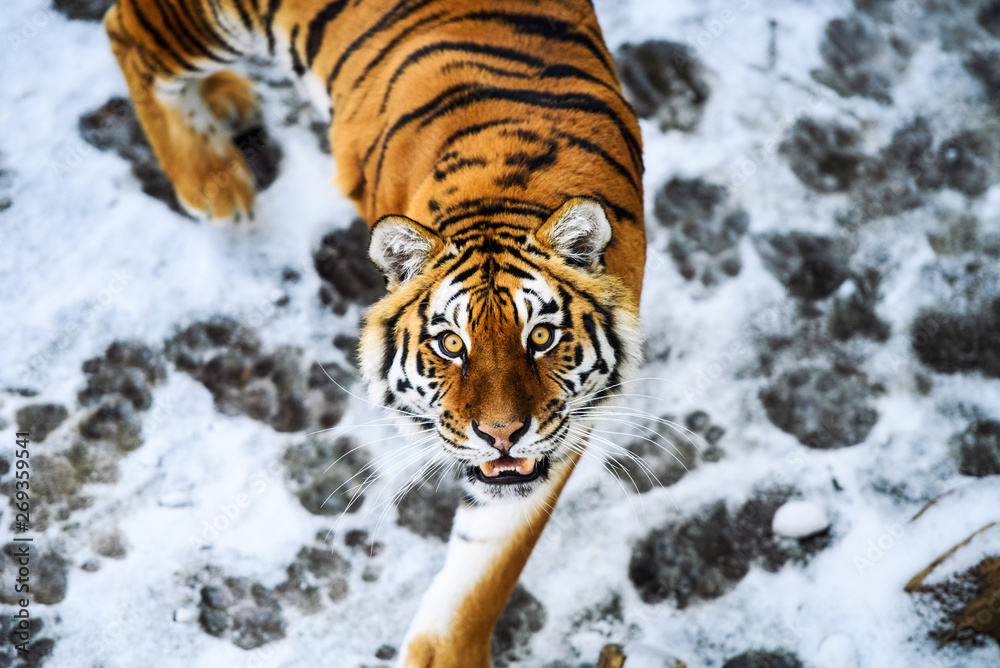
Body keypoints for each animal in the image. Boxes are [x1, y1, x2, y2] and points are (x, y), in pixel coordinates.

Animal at [103, 0, 645, 665]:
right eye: (451, 344)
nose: (501, 435)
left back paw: (228, 102)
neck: (501, 199)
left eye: (540, 338)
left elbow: (488, 563)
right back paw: (213, 181)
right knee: (127, 33)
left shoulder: (564, 429)